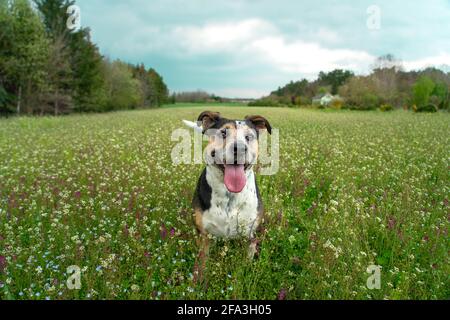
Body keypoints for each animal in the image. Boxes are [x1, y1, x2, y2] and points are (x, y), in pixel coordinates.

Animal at [182, 111, 270, 264]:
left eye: (248, 136)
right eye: (223, 133)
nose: (239, 148)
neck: (230, 194)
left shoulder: (251, 235)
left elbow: (247, 260)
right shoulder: (203, 235)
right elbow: (202, 263)